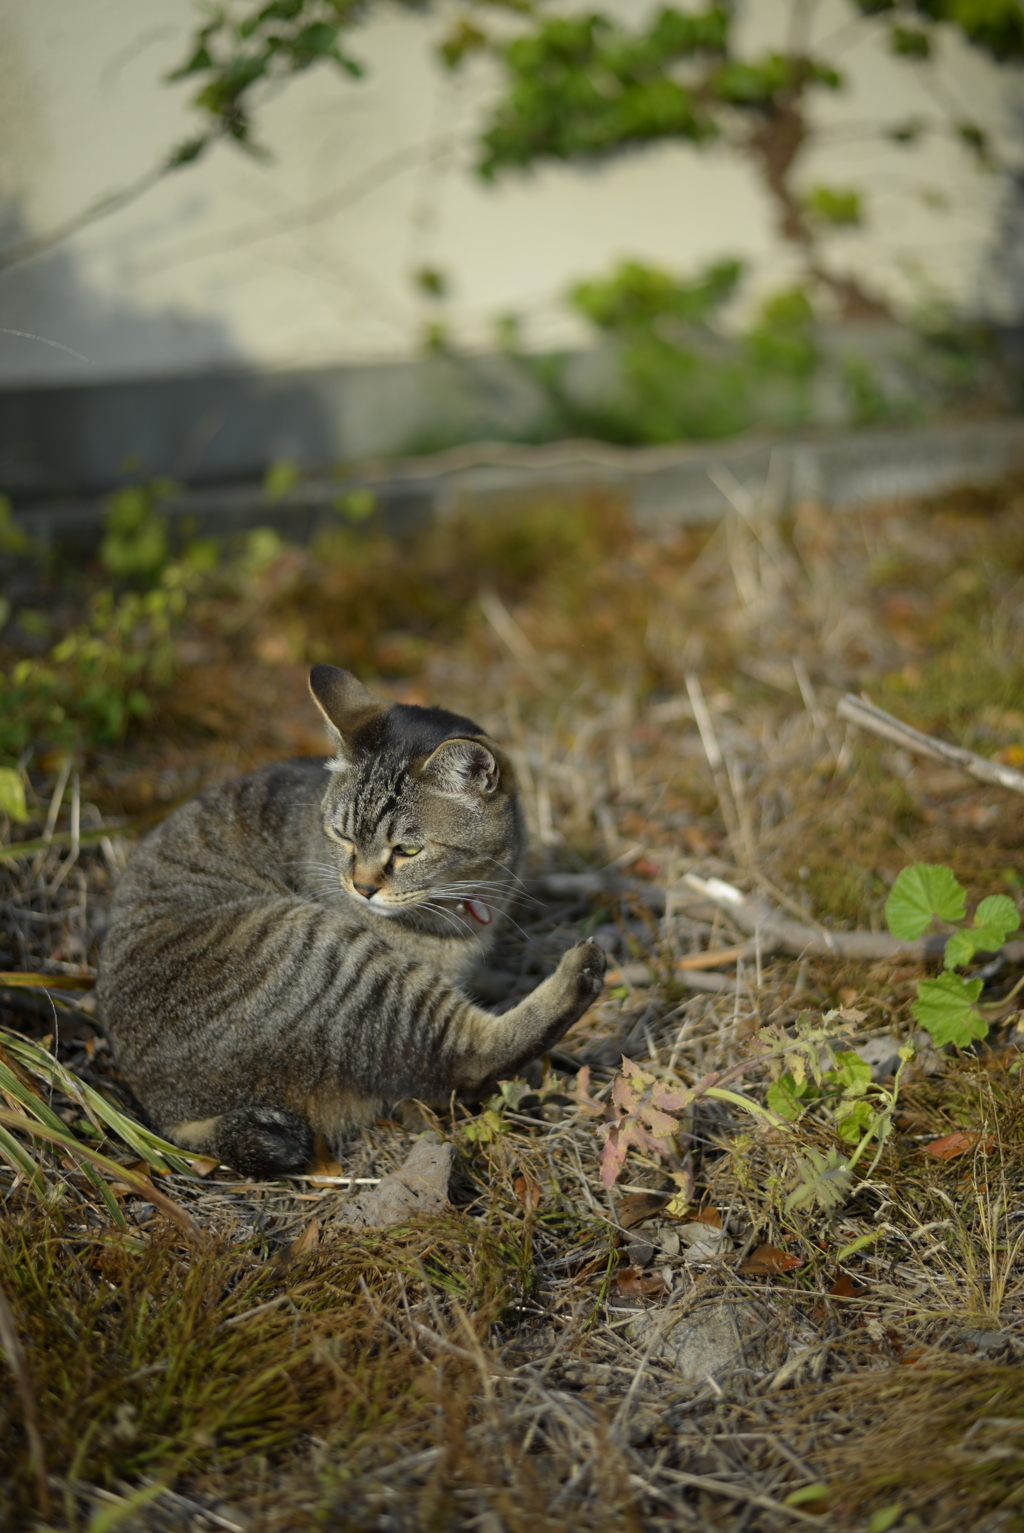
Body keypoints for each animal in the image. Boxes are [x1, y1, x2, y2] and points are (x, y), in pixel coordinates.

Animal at [96, 665, 603, 1177]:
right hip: (334, 959)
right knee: (463, 1064)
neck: (463, 901)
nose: (362, 887)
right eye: (342, 836)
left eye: (408, 850)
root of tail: (167, 1116)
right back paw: (577, 974)